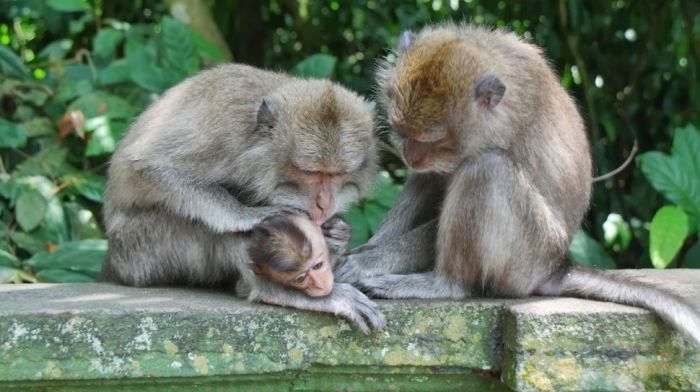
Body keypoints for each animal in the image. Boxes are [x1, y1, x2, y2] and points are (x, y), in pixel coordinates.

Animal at [103, 64, 386, 334]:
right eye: (310, 172)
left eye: (338, 174)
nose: (324, 203)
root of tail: (114, 265)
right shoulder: (222, 133)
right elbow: (147, 164)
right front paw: (246, 215)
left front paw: (338, 232)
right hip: (140, 252)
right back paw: (270, 290)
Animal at [334, 23, 700, 346]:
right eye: (402, 131)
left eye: (433, 140)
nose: (409, 155)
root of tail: (556, 266)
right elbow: (430, 179)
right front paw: (360, 248)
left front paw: (366, 262)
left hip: (527, 256)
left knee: (488, 169)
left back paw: (443, 284)